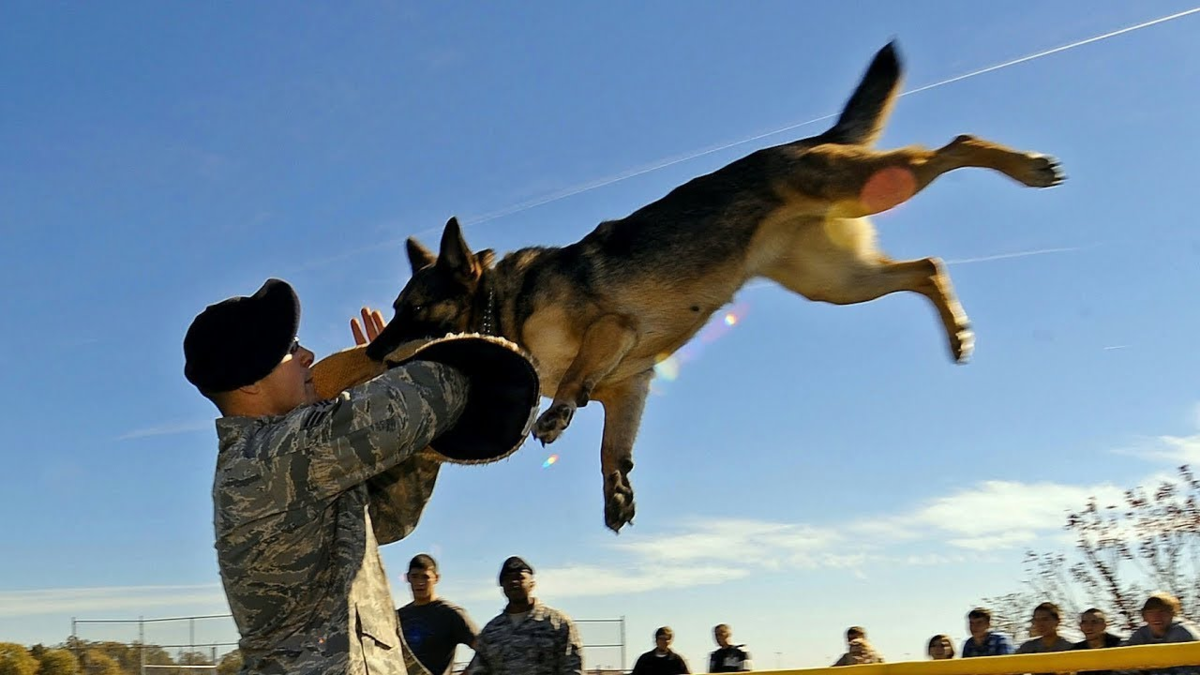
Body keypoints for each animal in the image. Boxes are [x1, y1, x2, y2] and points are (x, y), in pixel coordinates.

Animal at [364, 42, 1060, 533]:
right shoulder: (630, 387)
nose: (371, 353)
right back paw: (958, 332)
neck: (502, 306)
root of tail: (814, 139)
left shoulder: (613, 333)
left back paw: (1028, 167)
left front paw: (557, 412)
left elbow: (574, 381)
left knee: (955, 146)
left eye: (412, 309)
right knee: (928, 266)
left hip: (863, 189)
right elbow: (610, 449)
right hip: (839, 283)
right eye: (394, 309)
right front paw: (616, 492)